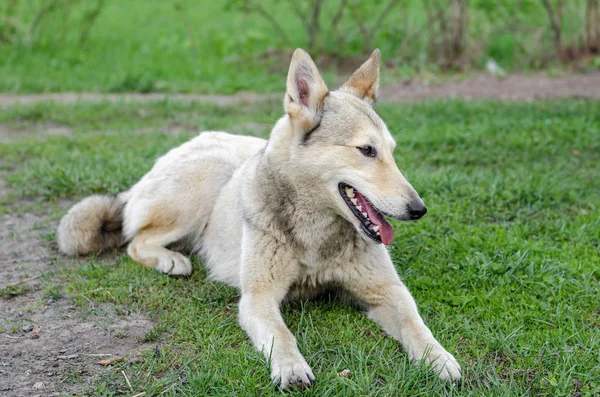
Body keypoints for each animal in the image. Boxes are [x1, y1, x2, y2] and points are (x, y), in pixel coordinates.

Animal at [57, 48, 460, 386]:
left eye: (391, 152)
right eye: (366, 150)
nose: (419, 209)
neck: (316, 231)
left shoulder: (386, 290)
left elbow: (414, 322)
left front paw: (437, 357)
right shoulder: (258, 297)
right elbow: (282, 334)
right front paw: (291, 366)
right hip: (204, 182)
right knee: (136, 240)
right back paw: (171, 260)